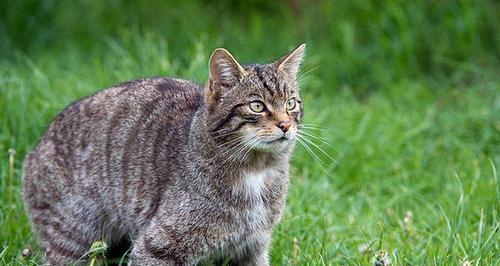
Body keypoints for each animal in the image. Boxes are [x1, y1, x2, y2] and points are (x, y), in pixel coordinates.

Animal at [22, 44, 304, 266]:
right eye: (257, 106)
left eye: (291, 103)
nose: (285, 125)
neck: (256, 171)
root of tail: (32, 152)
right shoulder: (158, 247)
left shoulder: (251, 248)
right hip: (72, 236)